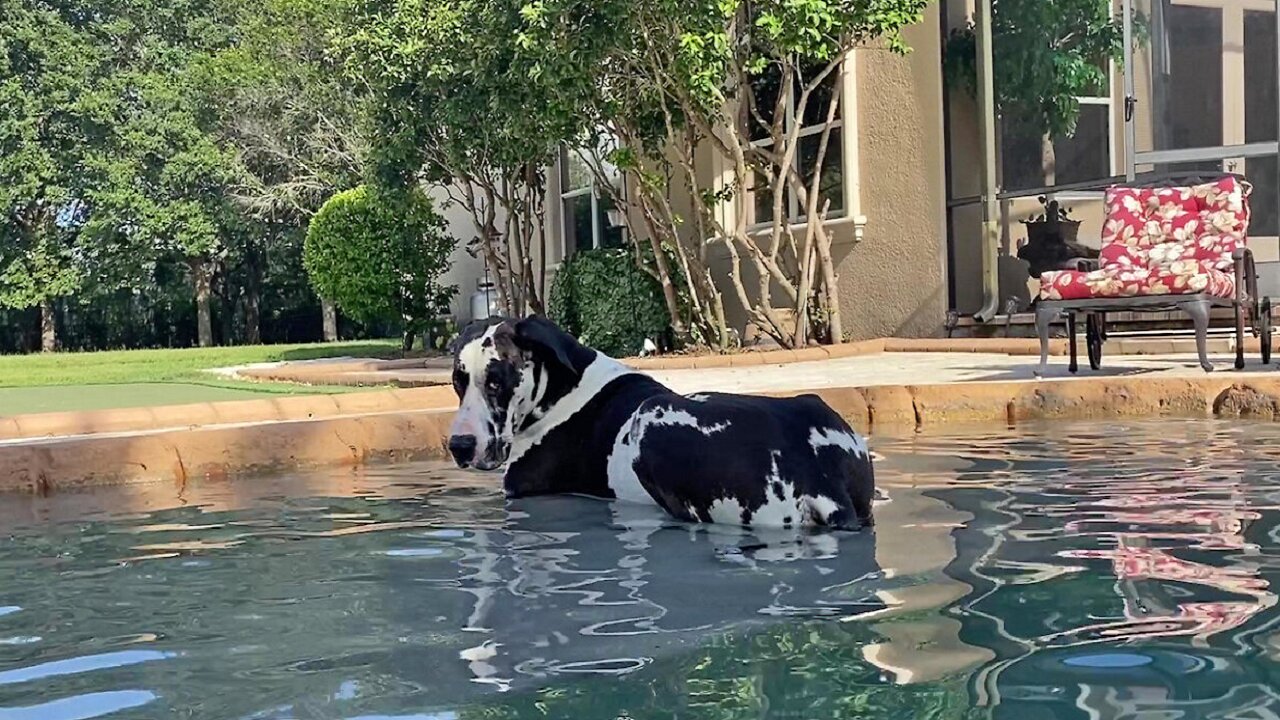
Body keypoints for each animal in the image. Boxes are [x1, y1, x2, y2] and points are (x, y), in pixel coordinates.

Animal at [445, 316, 875, 530]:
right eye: (458, 380)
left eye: (497, 379)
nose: (459, 446)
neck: (562, 389)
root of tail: (822, 482)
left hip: (651, 415)